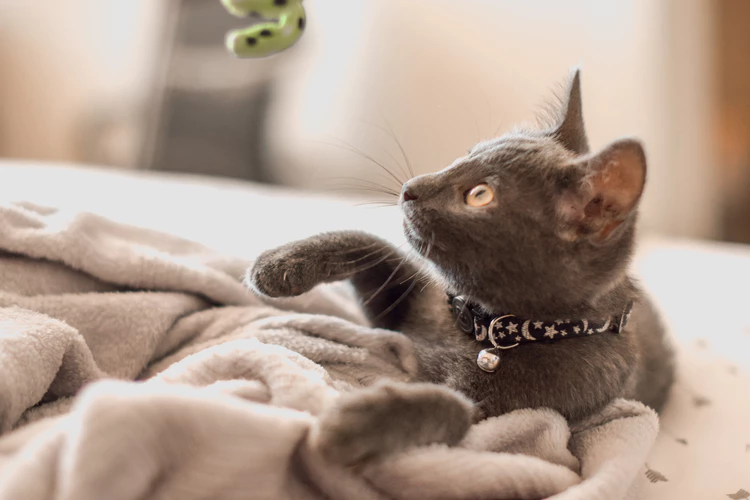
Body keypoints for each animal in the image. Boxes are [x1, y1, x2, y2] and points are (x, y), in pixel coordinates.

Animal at [247, 71, 676, 468]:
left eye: (479, 195)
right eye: (465, 154)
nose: (411, 186)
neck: (482, 327)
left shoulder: (520, 411)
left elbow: (450, 406)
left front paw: (356, 423)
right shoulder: (400, 307)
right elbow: (371, 245)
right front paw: (280, 264)